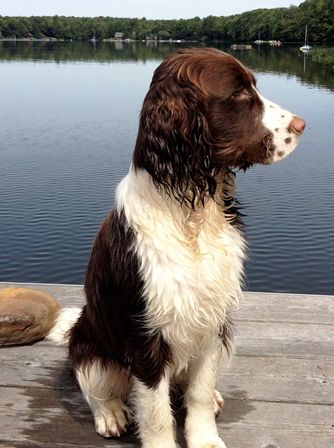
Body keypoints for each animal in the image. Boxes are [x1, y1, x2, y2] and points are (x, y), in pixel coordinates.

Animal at [49, 48, 306, 448]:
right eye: (239, 94)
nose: (301, 125)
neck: (192, 214)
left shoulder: (212, 319)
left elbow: (198, 390)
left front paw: (205, 437)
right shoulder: (146, 334)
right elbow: (155, 411)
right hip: (89, 337)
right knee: (93, 383)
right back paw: (110, 413)